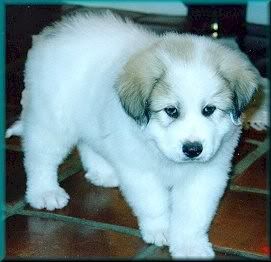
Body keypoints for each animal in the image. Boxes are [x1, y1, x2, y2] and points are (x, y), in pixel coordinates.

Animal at [6, 11, 262, 258]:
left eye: (209, 110)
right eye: (171, 111)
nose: (192, 149)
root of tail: (54, 31)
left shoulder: (205, 174)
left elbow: (192, 214)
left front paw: (190, 246)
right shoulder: (140, 171)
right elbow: (154, 203)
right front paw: (160, 230)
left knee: (88, 142)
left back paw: (102, 173)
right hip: (52, 123)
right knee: (39, 158)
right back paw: (44, 193)